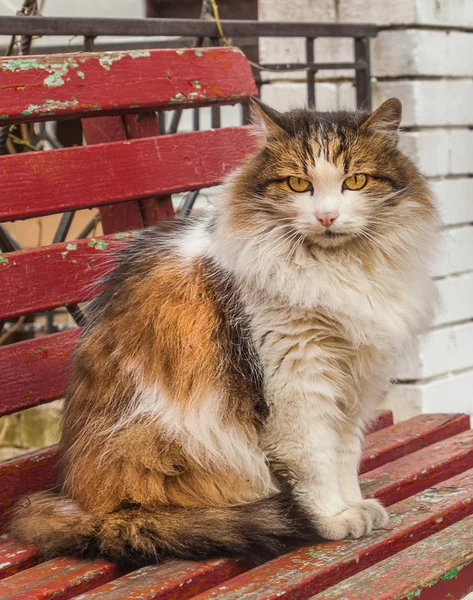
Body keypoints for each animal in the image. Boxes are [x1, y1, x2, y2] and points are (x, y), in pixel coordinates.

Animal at [12, 97, 438, 564]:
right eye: (298, 184)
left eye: (355, 181)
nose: (327, 217)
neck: (334, 269)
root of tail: (79, 502)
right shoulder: (297, 381)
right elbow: (316, 461)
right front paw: (332, 519)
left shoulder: (354, 384)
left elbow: (345, 455)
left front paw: (356, 505)